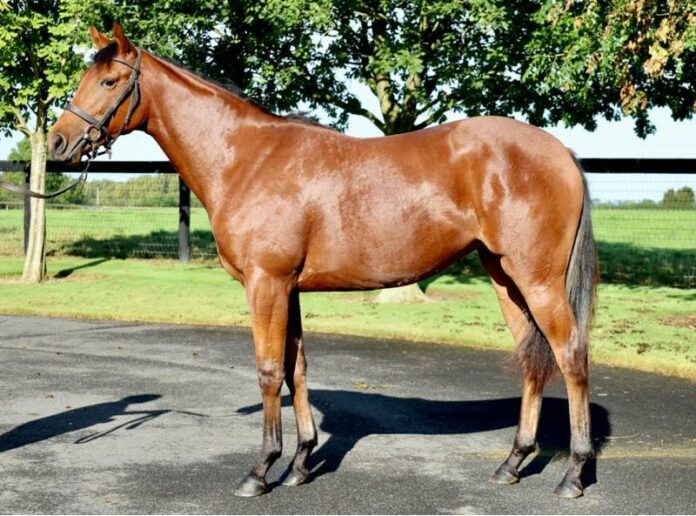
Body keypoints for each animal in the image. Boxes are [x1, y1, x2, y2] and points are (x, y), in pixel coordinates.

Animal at [49, 23, 598, 499]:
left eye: (110, 81)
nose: (57, 143)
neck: (246, 158)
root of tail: (562, 153)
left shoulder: (266, 283)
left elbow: (270, 369)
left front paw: (260, 470)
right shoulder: (287, 287)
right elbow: (298, 368)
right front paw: (300, 463)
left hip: (538, 280)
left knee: (570, 355)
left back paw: (573, 474)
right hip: (505, 278)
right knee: (532, 360)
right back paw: (512, 463)